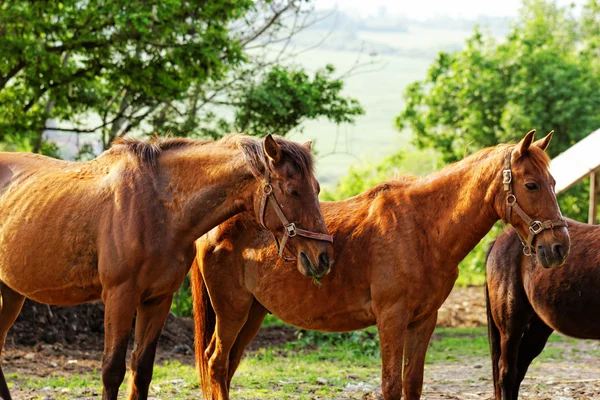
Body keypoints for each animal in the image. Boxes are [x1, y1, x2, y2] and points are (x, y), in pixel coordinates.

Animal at [0, 134, 332, 400]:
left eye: (316, 188)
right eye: (292, 190)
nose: (323, 257)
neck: (156, 208)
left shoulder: (158, 300)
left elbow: (142, 370)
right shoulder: (120, 298)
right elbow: (112, 370)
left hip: (11, 293)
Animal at [193, 130, 572, 398]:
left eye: (553, 182)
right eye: (532, 184)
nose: (559, 246)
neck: (422, 227)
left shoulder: (423, 321)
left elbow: (412, 384)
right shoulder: (391, 319)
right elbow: (391, 386)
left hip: (253, 313)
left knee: (226, 366)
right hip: (233, 311)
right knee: (215, 363)